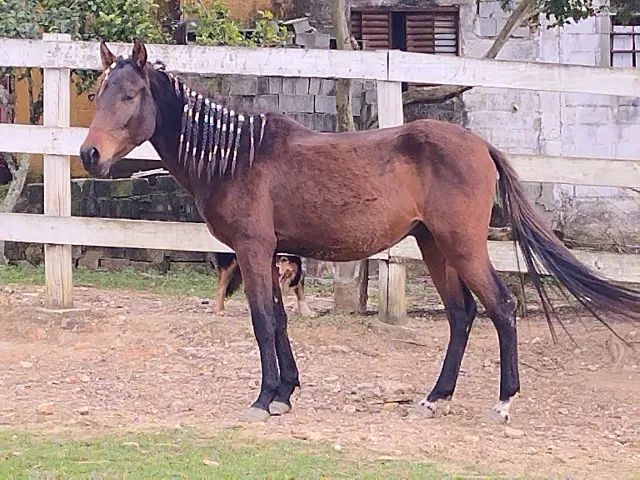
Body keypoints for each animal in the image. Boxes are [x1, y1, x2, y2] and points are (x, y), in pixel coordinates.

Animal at [80, 41, 640, 424]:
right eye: (97, 93)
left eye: (129, 95)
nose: (89, 155)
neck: (239, 155)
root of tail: (480, 145)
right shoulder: (274, 253)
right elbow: (280, 321)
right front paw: (285, 392)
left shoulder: (255, 249)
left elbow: (262, 321)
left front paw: (264, 399)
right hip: (434, 246)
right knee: (462, 315)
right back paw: (435, 398)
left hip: (462, 246)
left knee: (501, 308)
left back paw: (503, 402)